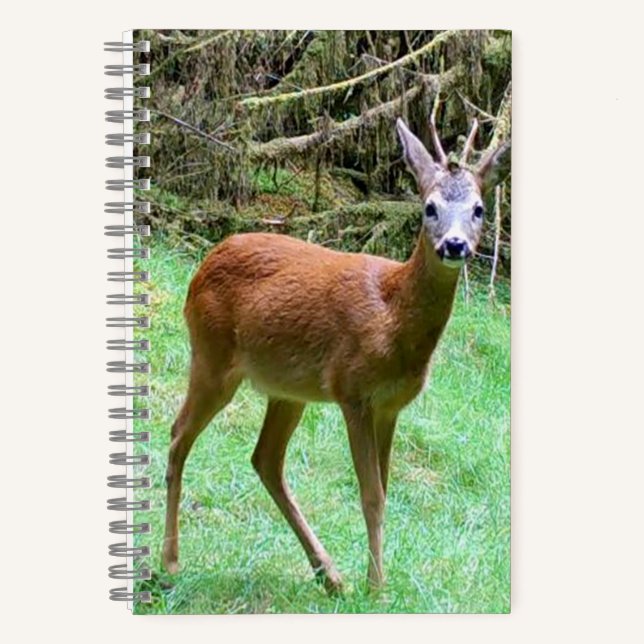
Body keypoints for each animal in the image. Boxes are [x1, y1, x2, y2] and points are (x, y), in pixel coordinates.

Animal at [162, 114, 509, 595]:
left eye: (479, 209)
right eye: (429, 207)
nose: (455, 245)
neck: (392, 318)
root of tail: (203, 265)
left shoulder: (390, 406)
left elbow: (384, 487)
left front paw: (370, 579)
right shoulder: (353, 391)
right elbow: (371, 494)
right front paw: (378, 587)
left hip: (287, 390)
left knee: (265, 459)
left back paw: (329, 575)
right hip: (211, 357)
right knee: (179, 435)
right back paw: (171, 562)